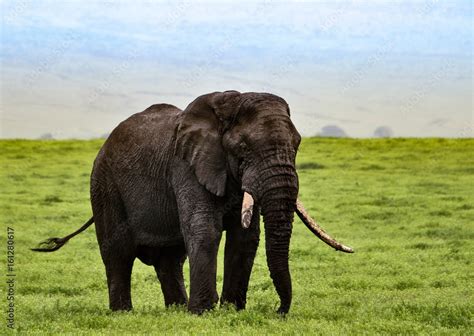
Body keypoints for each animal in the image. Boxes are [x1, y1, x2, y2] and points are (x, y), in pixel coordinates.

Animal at [32, 91, 352, 316]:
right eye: (243, 148)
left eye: (297, 145)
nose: (279, 311)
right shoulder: (186, 165)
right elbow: (204, 230)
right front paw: (204, 313)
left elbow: (245, 238)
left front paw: (232, 311)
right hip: (104, 184)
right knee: (117, 252)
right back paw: (123, 313)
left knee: (170, 258)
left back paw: (175, 309)